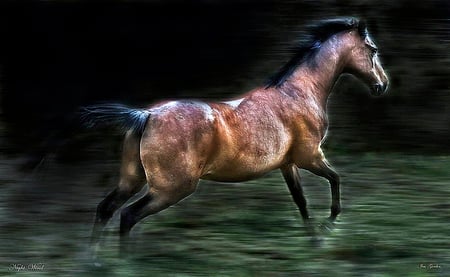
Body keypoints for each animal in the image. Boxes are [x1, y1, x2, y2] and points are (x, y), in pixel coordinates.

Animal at [82, 16, 388, 250]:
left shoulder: (288, 164)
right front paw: (328, 227)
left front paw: (314, 240)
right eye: (372, 49)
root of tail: (147, 116)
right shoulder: (310, 157)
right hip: (171, 188)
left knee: (105, 209)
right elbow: (335, 180)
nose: (382, 85)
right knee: (127, 216)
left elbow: (301, 201)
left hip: (132, 179)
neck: (299, 93)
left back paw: (95, 262)